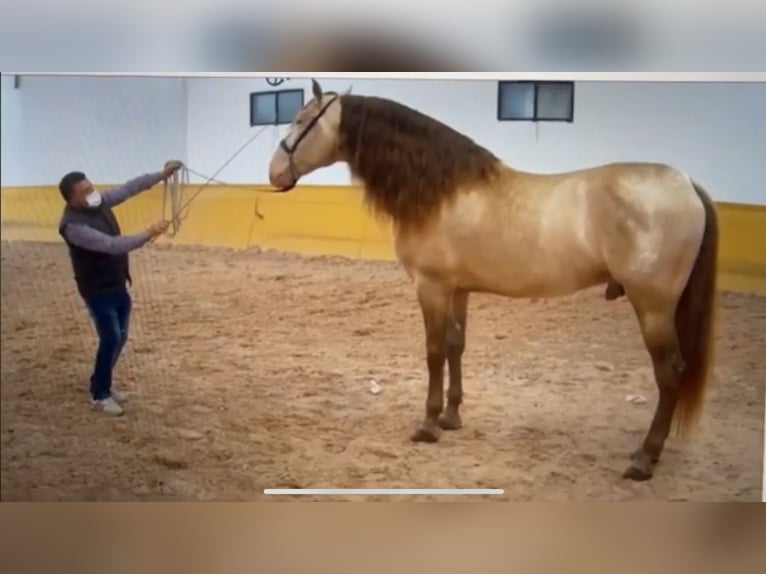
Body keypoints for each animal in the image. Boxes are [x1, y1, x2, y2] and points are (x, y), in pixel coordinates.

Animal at [268, 77, 720, 482]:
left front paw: (427, 425)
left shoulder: (431, 287)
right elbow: (455, 346)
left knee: (670, 373)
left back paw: (644, 458)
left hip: (653, 307)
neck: (440, 192)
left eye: (301, 120)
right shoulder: (458, 289)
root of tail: (686, 184)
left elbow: (433, 351)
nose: (274, 173)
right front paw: (451, 417)